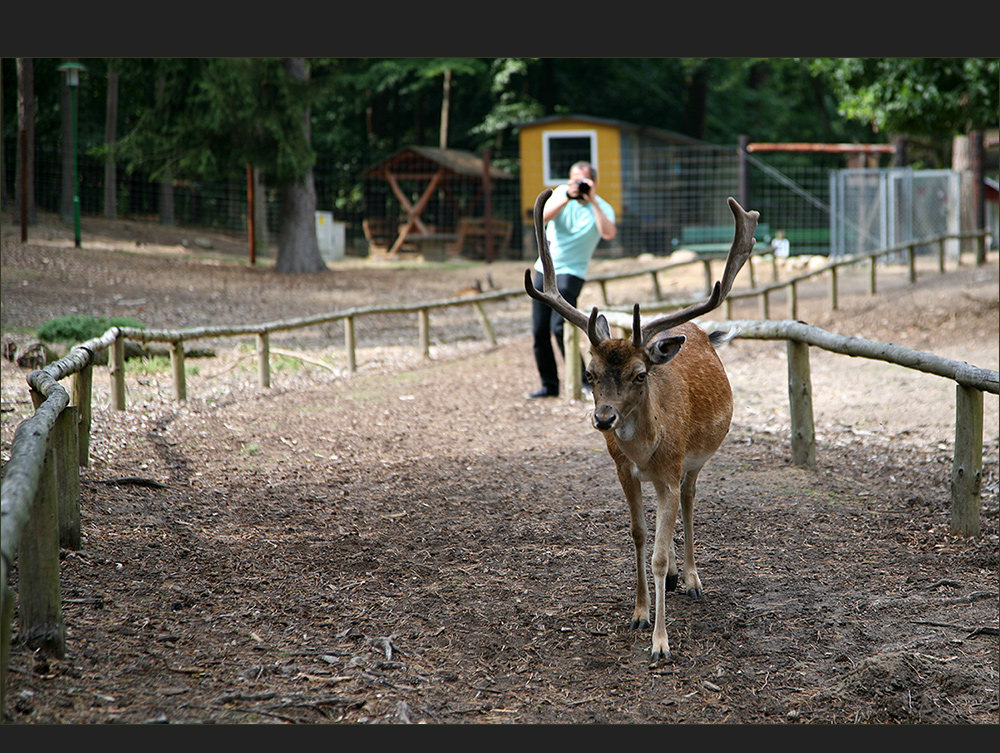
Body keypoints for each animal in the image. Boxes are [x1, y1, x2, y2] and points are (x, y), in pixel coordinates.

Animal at [524, 188, 756, 664]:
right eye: (590, 373)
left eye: (639, 375)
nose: (604, 418)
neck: (647, 451)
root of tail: (698, 331)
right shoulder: (624, 471)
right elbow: (638, 535)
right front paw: (639, 614)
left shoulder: (670, 470)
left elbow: (659, 555)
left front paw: (661, 643)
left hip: (695, 461)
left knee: (689, 500)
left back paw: (692, 579)